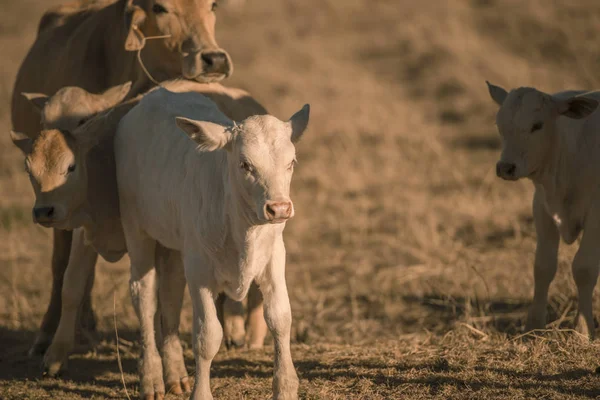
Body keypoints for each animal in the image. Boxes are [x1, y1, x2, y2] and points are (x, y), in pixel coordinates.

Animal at [115, 88, 310, 400]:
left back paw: (175, 374)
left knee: (170, 293)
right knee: (144, 296)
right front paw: (201, 392)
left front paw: (285, 388)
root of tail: (153, 95)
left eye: (291, 163)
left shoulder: (274, 256)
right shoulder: (199, 269)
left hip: (175, 242)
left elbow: (280, 318)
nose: (279, 208)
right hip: (135, 226)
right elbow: (208, 336)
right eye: (245, 164)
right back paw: (152, 379)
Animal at [488, 81, 600, 338]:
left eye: (537, 125)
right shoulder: (542, 208)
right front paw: (533, 326)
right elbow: (543, 267)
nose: (505, 167)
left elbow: (584, 268)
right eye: (500, 124)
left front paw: (582, 329)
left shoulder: (597, 213)